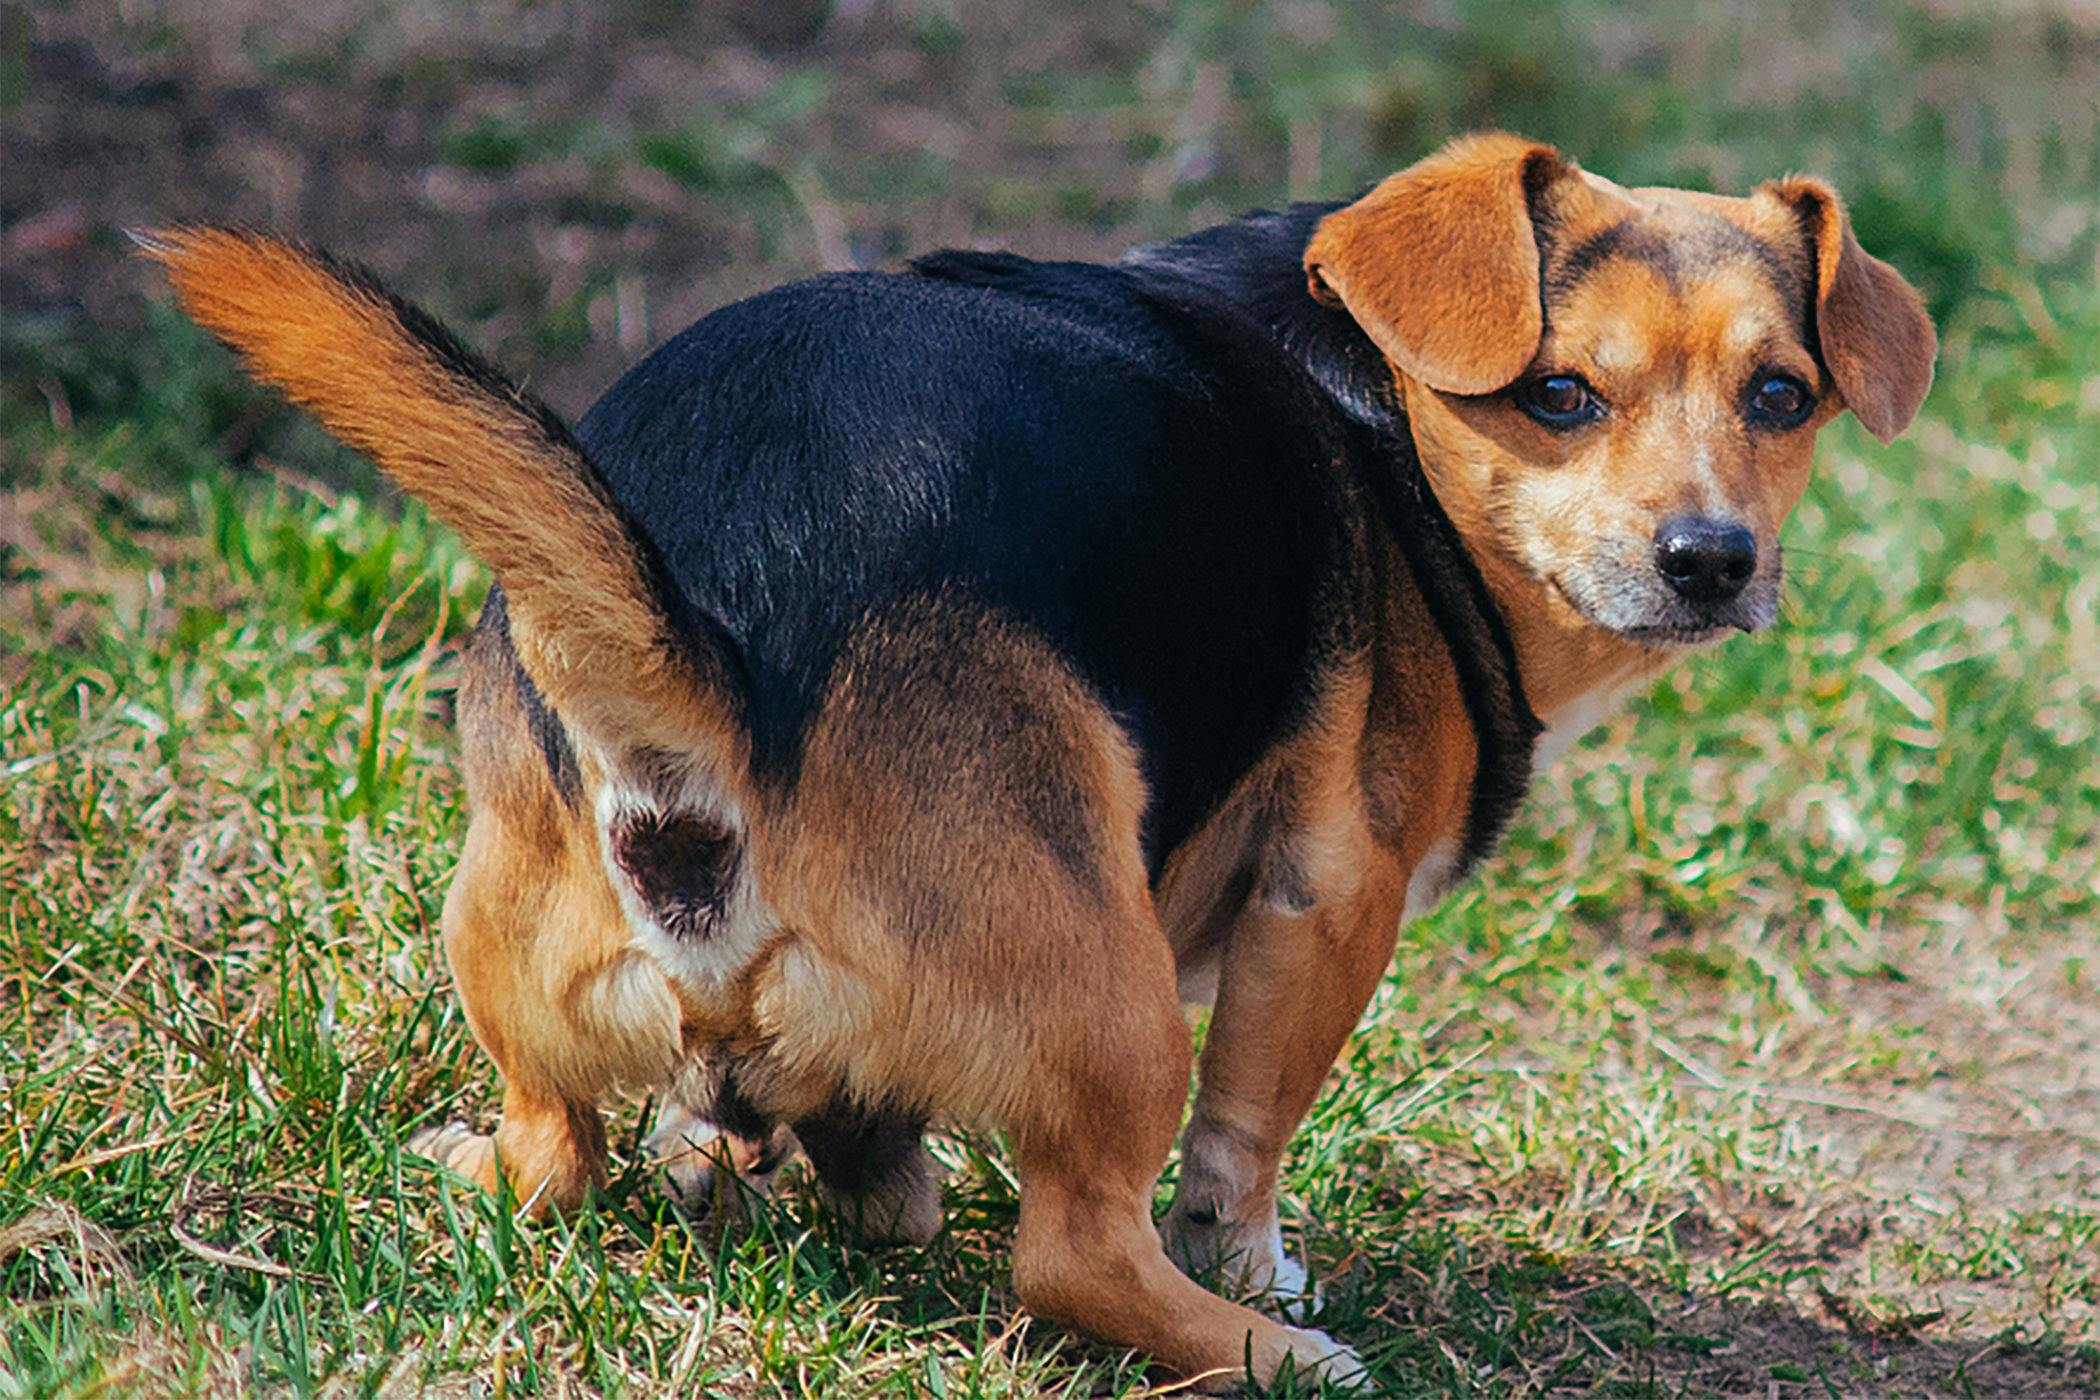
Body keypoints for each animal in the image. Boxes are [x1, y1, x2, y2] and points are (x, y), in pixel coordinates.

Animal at [148, 128, 1931, 1393]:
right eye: (1561, 393)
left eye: (1783, 396)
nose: (1712, 560)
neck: (1387, 414)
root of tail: (718, 662)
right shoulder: (1332, 896)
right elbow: (1246, 1142)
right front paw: (1261, 1277)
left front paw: (771, 1166)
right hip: (1121, 1000)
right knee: (1073, 1253)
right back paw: (1271, 1357)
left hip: (513, 952)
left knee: (549, 1158)